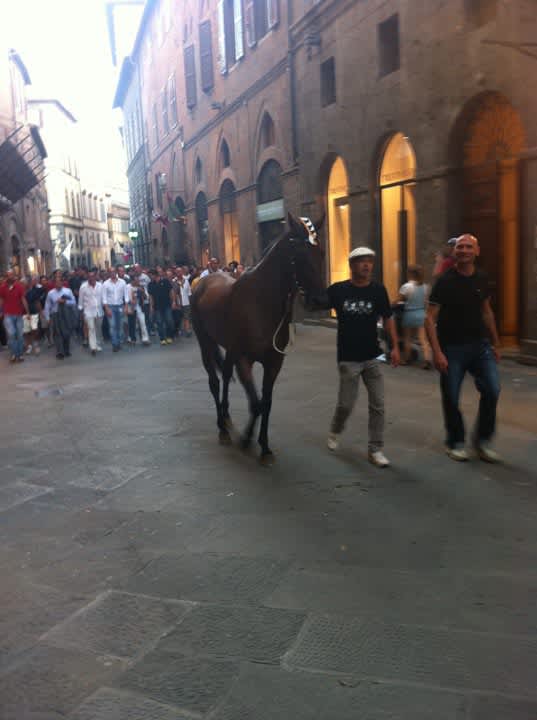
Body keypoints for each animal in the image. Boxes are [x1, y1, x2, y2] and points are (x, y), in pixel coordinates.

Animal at [191, 211, 324, 464]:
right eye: (299, 254)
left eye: (320, 252)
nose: (318, 299)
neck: (261, 302)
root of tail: (202, 281)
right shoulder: (245, 359)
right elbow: (255, 403)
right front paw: (246, 439)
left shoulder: (274, 362)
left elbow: (266, 403)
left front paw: (264, 446)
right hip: (205, 342)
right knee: (214, 381)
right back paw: (222, 427)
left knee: (225, 376)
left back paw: (226, 416)